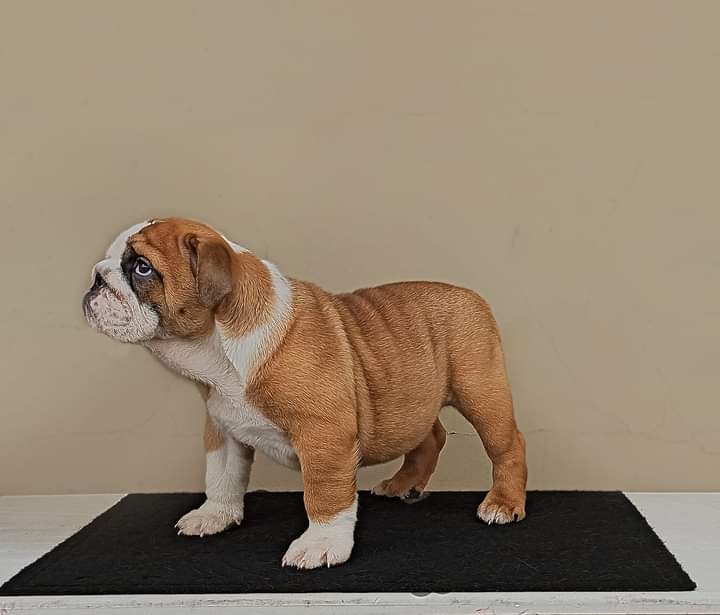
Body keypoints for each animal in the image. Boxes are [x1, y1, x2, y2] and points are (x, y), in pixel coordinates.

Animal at [83, 217, 527, 569]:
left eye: (142, 268)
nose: (96, 278)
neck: (218, 352)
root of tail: (468, 295)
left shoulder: (323, 436)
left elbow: (324, 495)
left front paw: (321, 544)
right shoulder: (222, 429)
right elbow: (221, 477)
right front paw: (214, 516)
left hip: (481, 392)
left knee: (507, 444)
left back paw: (503, 503)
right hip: (414, 402)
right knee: (430, 436)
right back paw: (404, 484)